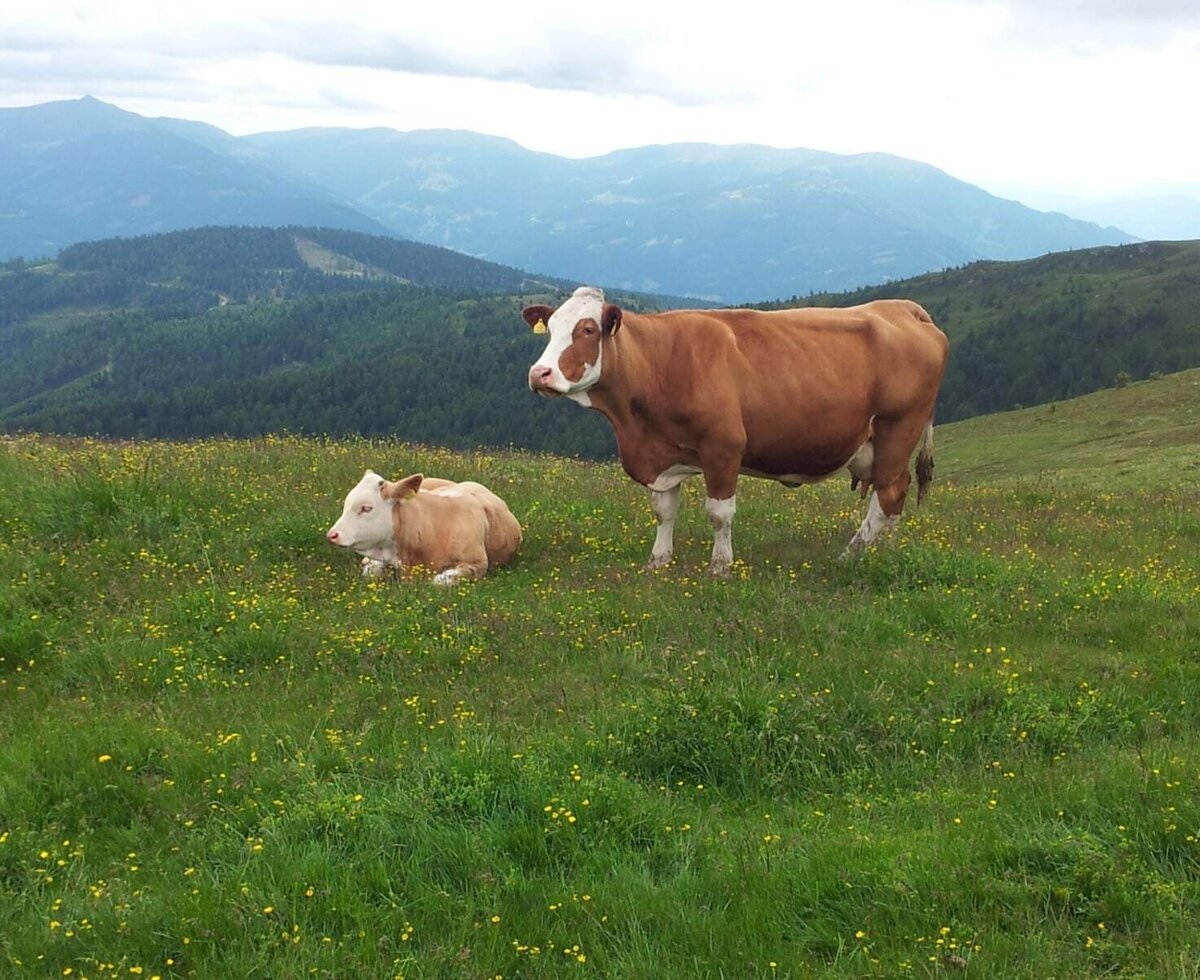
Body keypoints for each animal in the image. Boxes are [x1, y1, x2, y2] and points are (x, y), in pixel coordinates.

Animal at [523, 286, 948, 575]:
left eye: (587, 329)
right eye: (551, 328)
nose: (539, 373)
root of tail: (903, 308)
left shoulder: (723, 445)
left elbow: (719, 513)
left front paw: (720, 566)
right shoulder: (662, 457)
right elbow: (663, 511)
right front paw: (658, 561)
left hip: (898, 429)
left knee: (890, 493)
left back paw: (853, 556)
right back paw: (880, 553)